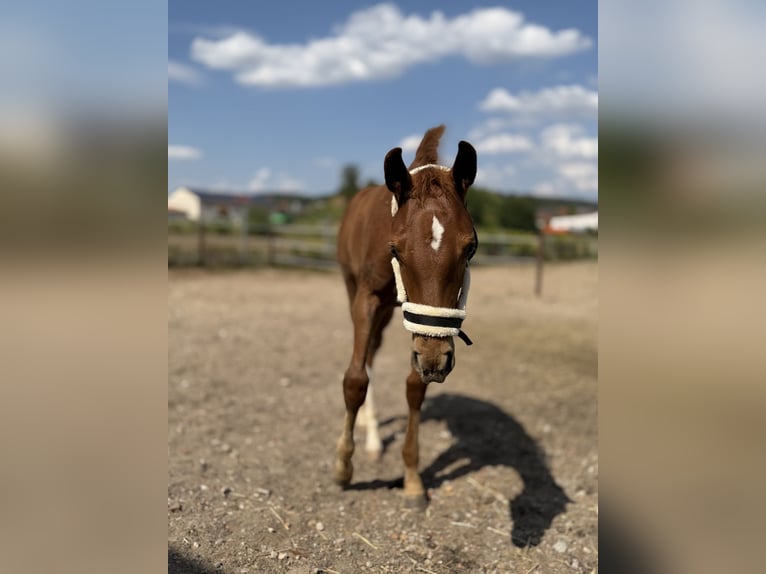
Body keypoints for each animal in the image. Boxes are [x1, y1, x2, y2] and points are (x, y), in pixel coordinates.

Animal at [334, 125, 478, 508]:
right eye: (395, 248)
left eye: (471, 248)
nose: (436, 361)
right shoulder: (367, 300)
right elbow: (355, 379)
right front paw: (342, 467)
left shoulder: (419, 326)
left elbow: (415, 387)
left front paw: (412, 478)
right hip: (354, 290)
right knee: (366, 356)